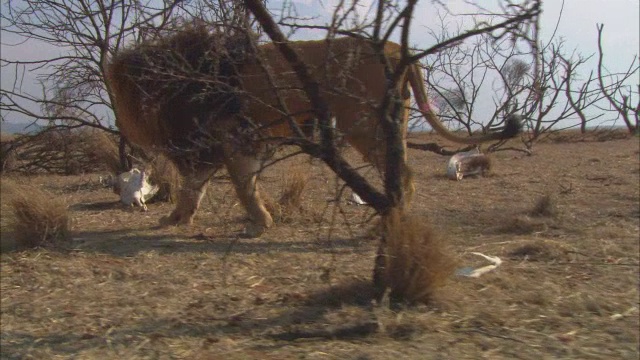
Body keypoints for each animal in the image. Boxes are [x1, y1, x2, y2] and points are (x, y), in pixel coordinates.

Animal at [109, 26, 520, 238]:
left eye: (125, 92)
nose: (123, 122)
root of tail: (395, 47)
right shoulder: (221, 145)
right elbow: (199, 188)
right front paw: (178, 219)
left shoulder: (228, 138)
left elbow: (236, 186)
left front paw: (259, 223)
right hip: (390, 125)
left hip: (366, 124)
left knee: (405, 174)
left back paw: (385, 224)